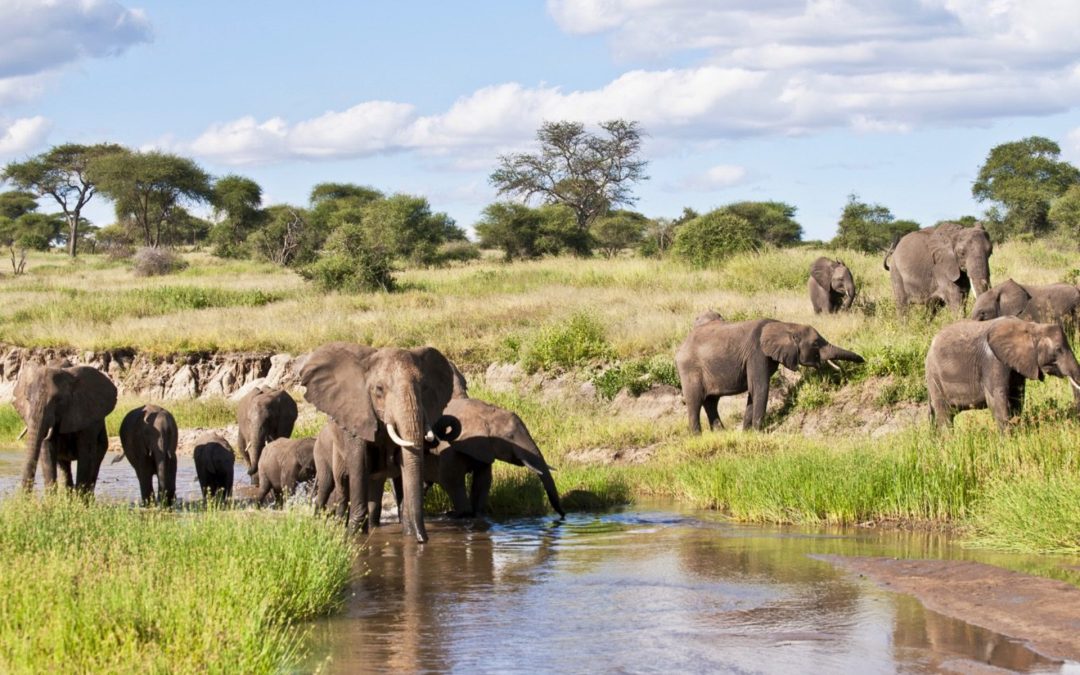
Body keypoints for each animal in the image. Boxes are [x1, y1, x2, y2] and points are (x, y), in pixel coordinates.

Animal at [14, 360, 117, 492]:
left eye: (58, 400)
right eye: (27, 399)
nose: (23, 496)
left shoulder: (85, 413)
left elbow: (86, 452)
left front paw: (80, 497)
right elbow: (47, 449)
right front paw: (51, 497)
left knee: (95, 461)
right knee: (64, 466)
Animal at [300, 341, 455, 542]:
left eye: (424, 387)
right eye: (379, 389)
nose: (423, 539)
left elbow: (404, 463)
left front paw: (409, 535)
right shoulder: (357, 415)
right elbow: (359, 464)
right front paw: (354, 536)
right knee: (339, 486)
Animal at [673, 317, 868, 432]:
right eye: (815, 343)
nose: (865, 361)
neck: (785, 325)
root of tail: (682, 344)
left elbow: (753, 392)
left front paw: (747, 433)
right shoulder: (757, 354)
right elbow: (759, 388)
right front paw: (759, 432)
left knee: (711, 401)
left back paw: (721, 433)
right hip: (689, 369)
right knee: (695, 401)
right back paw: (698, 436)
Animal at [924, 317, 1080, 432]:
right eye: (1058, 349)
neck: (1031, 327)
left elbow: (1017, 397)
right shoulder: (993, 361)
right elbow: (997, 399)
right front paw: (1007, 440)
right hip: (934, 377)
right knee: (944, 414)